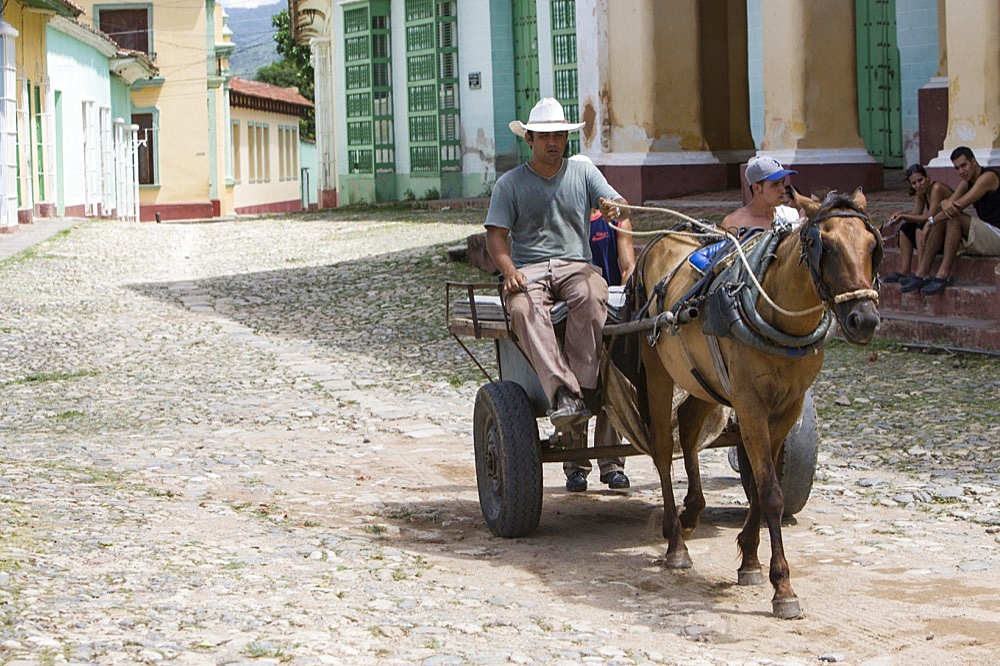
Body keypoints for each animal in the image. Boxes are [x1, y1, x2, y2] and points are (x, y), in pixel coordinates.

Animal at [636, 188, 880, 616]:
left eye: (871, 245)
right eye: (825, 245)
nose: (863, 319)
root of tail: (665, 238)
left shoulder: (786, 407)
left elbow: (764, 482)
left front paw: (749, 559)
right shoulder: (750, 403)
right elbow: (770, 493)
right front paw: (782, 586)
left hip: (705, 380)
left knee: (689, 423)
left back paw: (691, 509)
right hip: (658, 371)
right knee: (664, 449)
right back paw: (676, 544)